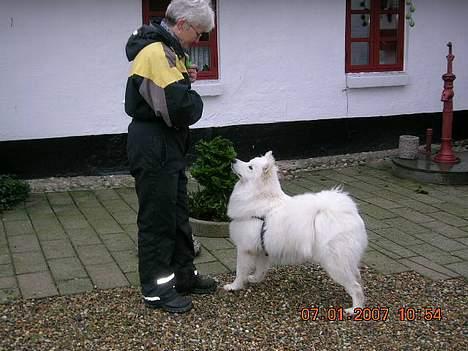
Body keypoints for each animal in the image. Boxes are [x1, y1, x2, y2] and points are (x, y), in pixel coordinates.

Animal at [224, 151, 370, 314]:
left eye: (250, 167)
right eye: (249, 161)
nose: (232, 160)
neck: (260, 198)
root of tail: (350, 214)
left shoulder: (244, 249)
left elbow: (240, 271)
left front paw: (233, 286)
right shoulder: (262, 247)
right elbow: (260, 269)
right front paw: (254, 279)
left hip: (335, 263)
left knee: (356, 288)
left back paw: (354, 309)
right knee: (357, 278)